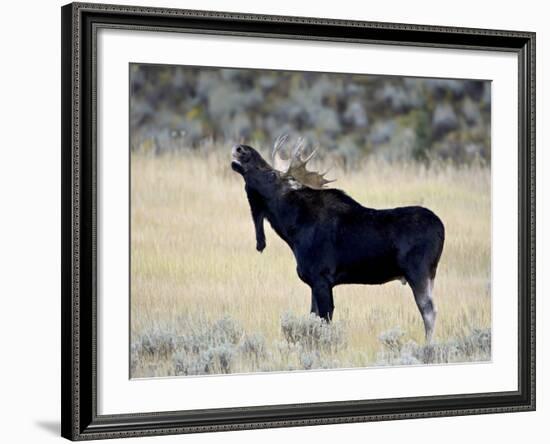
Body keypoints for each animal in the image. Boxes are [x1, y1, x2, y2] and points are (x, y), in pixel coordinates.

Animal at [231, 137, 446, 342]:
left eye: (272, 174)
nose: (241, 149)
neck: (293, 229)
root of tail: (441, 228)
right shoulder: (314, 281)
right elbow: (313, 318)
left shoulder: (322, 278)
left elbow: (324, 320)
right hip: (429, 275)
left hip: (418, 272)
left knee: (429, 311)